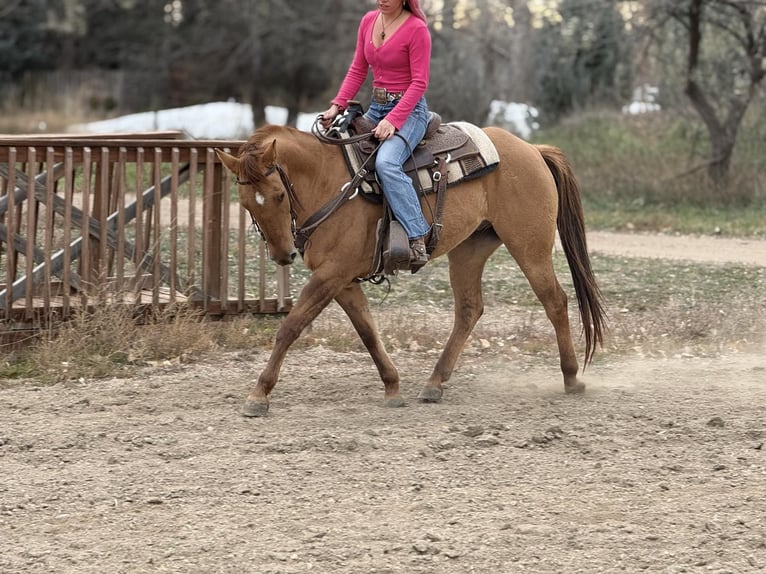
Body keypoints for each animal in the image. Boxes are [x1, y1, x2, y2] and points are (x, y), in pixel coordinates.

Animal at [216, 121, 607, 417]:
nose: (283, 255)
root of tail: (532, 150)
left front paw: (259, 394)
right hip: (470, 249)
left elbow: (291, 327)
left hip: (529, 246)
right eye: (247, 203)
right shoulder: (342, 279)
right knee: (469, 310)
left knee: (554, 301)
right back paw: (434, 383)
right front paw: (392, 386)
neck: (329, 183)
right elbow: (367, 331)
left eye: (279, 195)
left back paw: (572, 378)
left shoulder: (331, 275)